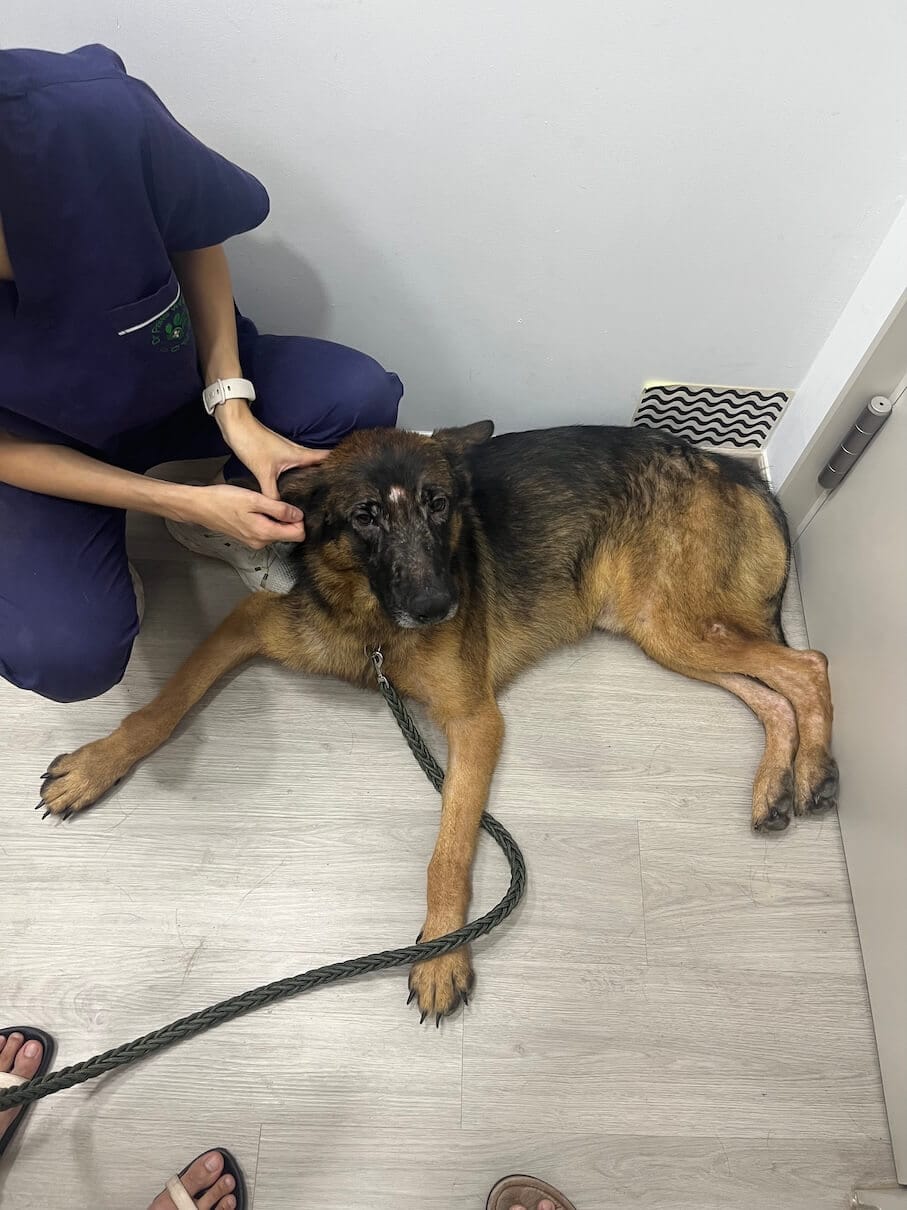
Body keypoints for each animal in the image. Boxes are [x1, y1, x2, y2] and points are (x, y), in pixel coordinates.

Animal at [37, 422, 838, 1018]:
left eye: (439, 505)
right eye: (364, 515)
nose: (436, 608)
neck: (374, 622)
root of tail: (726, 466)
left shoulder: (475, 723)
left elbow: (448, 852)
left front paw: (442, 951)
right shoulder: (248, 624)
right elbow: (163, 705)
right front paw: (97, 763)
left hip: (671, 621)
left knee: (810, 665)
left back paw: (810, 775)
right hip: (660, 629)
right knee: (774, 689)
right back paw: (776, 786)